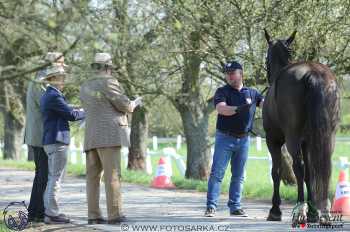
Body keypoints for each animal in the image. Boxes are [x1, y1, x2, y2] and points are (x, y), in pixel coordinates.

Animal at [264, 29, 340, 225]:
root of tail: (312, 73)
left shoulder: (273, 141)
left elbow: (276, 172)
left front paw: (275, 210)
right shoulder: (307, 142)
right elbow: (309, 174)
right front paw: (313, 211)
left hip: (292, 138)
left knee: (298, 167)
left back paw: (299, 211)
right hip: (328, 136)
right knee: (322, 167)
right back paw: (323, 212)